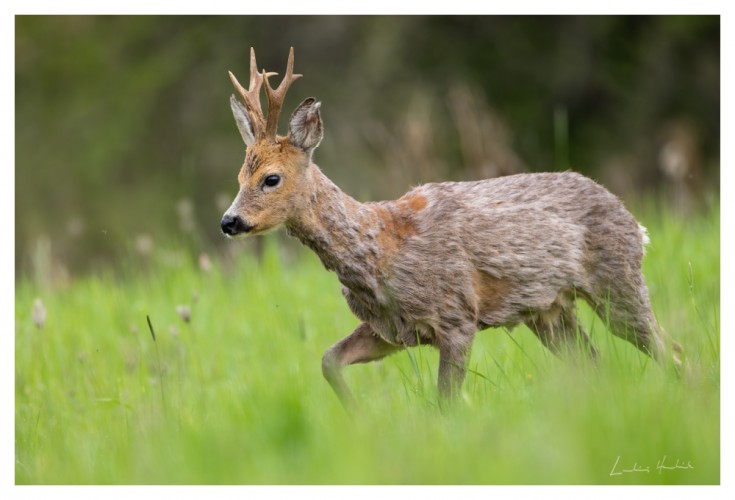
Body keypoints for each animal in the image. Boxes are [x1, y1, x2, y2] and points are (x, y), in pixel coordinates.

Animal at [220, 47, 684, 408]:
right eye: (239, 176)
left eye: (271, 178)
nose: (229, 221)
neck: (382, 250)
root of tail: (632, 219)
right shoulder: (392, 329)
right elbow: (328, 360)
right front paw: (358, 418)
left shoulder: (457, 316)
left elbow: (446, 403)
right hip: (550, 310)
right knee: (597, 365)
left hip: (617, 281)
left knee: (672, 351)